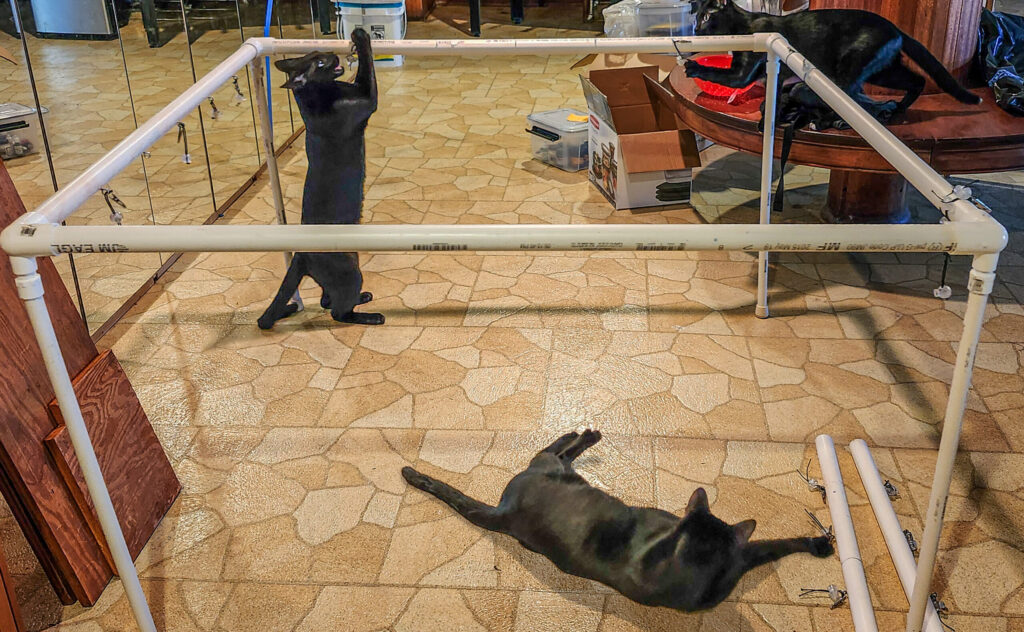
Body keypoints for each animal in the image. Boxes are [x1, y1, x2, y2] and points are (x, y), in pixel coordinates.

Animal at [256, 27, 385, 329]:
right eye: (321, 62)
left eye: (317, 54)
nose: (330, 53)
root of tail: (302, 254)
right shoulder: (367, 97)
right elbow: (367, 67)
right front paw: (360, 34)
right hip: (349, 270)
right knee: (339, 312)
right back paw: (372, 316)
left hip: (349, 262)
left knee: (329, 300)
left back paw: (364, 297)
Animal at [399, 426, 831, 610]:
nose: (676, 523)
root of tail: (504, 513)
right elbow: (769, 543)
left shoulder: (741, 560)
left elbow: (776, 545)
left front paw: (819, 545)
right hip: (553, 468)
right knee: (553, 447)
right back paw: (587, 433)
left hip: (559, 473)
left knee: (558, 449)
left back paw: (587, 434)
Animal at [684, 0, 978, 120]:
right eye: (696, 17)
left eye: (707, 17)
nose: (696, 29)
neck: (744, 25)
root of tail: (895, 28)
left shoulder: (743, 72)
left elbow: (723, 75)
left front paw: (692, 66)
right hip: (884, 71)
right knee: (916, 80)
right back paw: (898, 109)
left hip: (851, 69)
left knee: (854, 96)